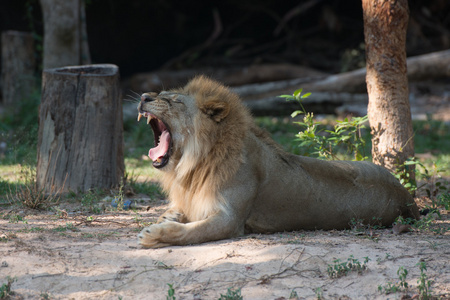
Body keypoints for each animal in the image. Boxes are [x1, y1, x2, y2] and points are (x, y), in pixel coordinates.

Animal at [136, 75, 418, 248]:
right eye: (160, 93)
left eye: (173, 100)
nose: (143, 97)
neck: (195, 164)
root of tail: (407, 198)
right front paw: (169, 216)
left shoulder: (230, 219)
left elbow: (191, 232)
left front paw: (155, 234)